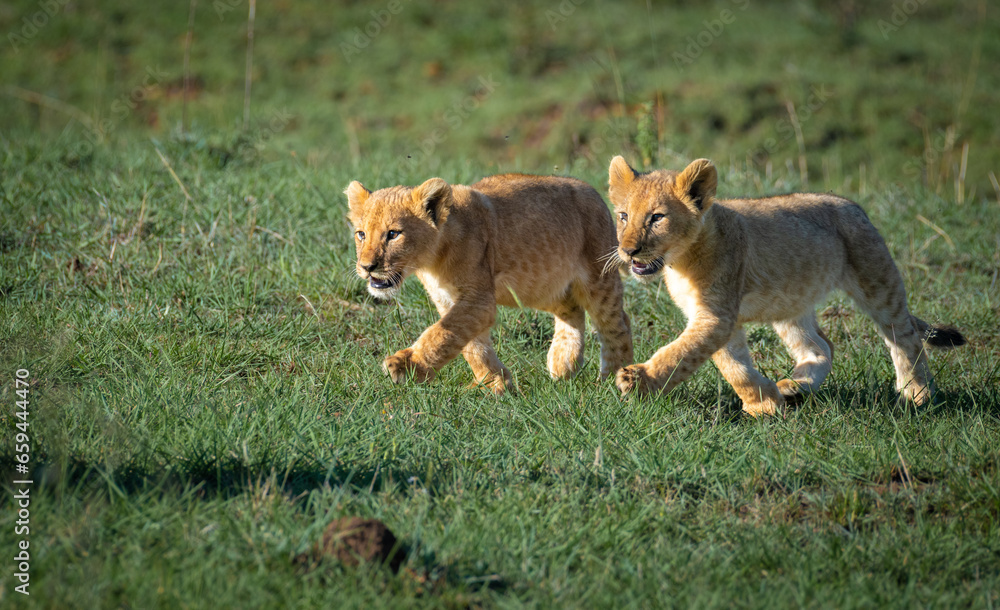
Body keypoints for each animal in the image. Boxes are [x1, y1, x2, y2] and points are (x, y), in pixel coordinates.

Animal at [345, 173, 633, 393]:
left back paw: (616, 378)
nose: (367, 267)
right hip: (542, 283)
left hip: (597, 277)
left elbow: (441, 334)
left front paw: (407, 366)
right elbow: (470, 343)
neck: (432, 262)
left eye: (393, 234)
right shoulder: (448, 299)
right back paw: (563, 362)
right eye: (361, 234)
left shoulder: (478, 298)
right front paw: (494, 382)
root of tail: (594, 192)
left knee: (617, 321)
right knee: (571, 310)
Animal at [607, 155, 965, 416]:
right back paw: (795, 387)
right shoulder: (717, 318)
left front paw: (637, 379)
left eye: (657, 218)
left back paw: (916, 394)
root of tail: (853, 204)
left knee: (905, 337)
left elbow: (680, 353)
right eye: (623, 216)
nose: (628, 250)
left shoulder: (716, 314)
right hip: (791, 304)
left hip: (878, 283)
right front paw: (763, 403)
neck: (679, 261)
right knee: (821, 346)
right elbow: (733, 366)